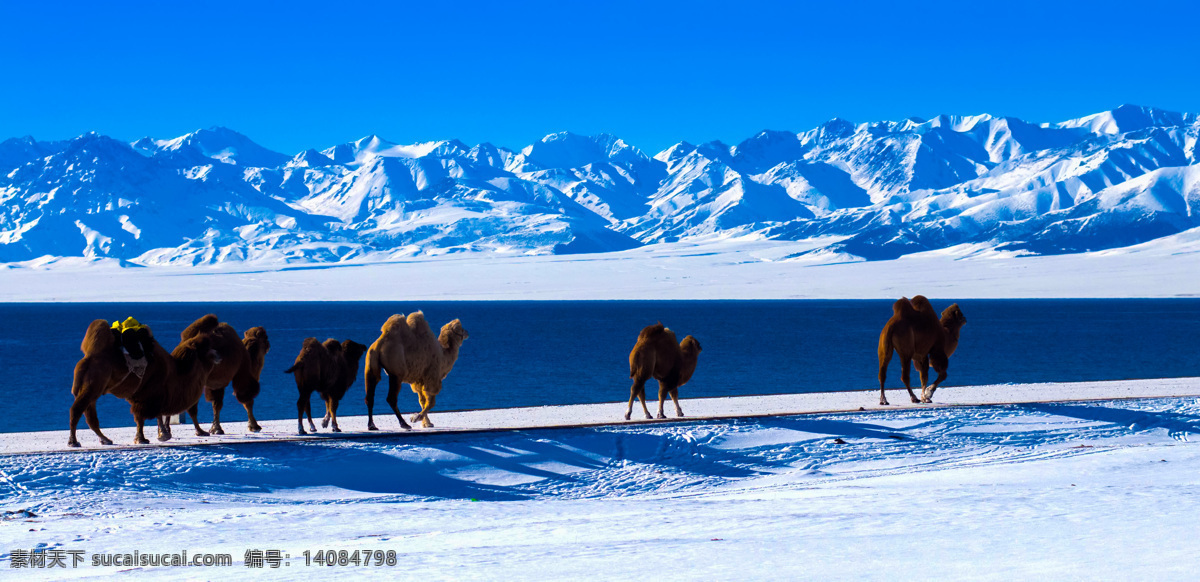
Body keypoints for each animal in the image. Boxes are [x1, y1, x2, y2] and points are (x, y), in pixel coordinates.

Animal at [69, 316, 222, 444]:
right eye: (206, 349)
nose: (218, 356)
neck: (177, 373)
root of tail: (87, 359)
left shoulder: (147, 395)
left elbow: (148, 417)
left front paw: (159, 435)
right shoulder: (152, 393)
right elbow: (144, 417)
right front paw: (148, 438)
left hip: (93, 387)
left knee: (89, 414)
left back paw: (105, 439)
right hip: (94, 385)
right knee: (77, 409)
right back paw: (74, 442)